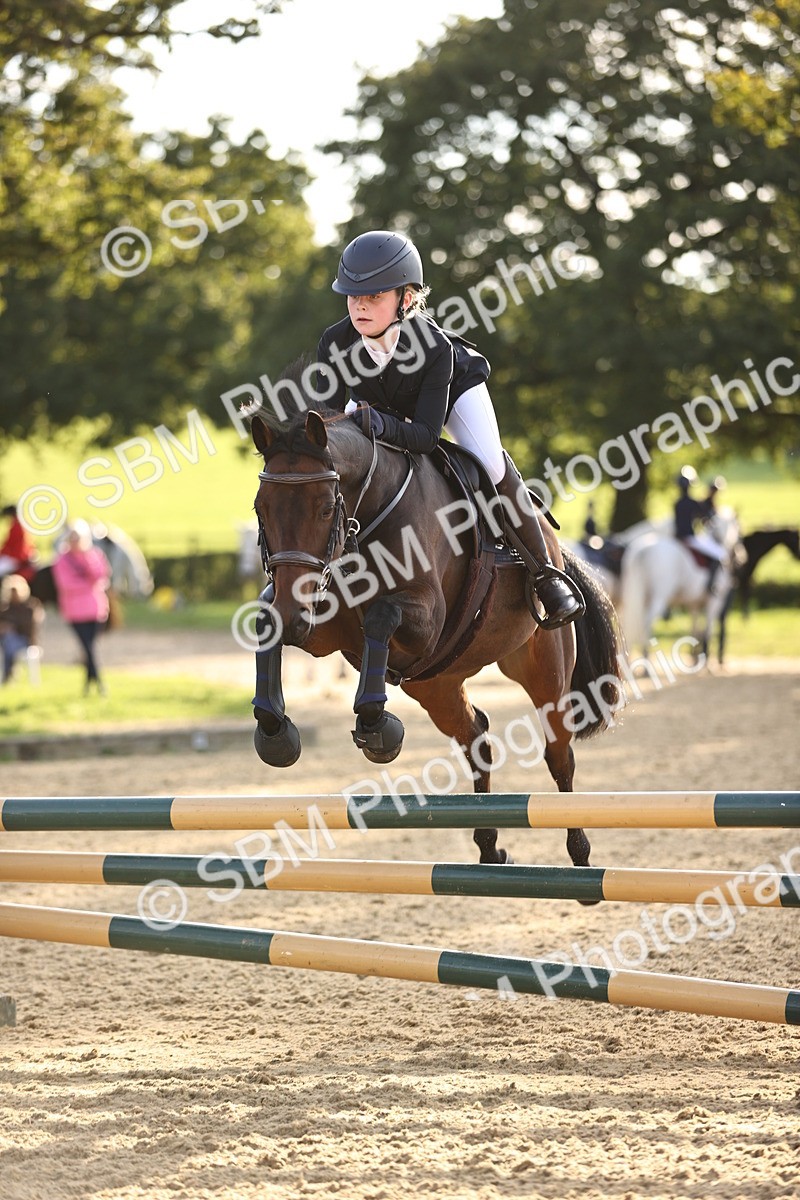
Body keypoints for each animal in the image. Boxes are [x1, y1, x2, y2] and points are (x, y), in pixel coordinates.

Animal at [246, 368, 624, 870]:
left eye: (326, 508)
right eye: (261, 508)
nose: (295, 616)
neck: (367, 516)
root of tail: (556, 550)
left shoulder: (424, 621)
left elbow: (381, 616)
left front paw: (376, 726)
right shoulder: (326, 629)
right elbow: (266, 623)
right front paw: (275, 733)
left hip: (544, 668)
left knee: (558, 753)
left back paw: (580, 855)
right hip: (437, 683)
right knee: (476, 735)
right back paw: (489, 846)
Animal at [619, 508, 741, 661]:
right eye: (740, 529)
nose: (742, 556)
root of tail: (641, 551)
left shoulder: (694, 603)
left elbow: (694, 626)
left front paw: (694, 655)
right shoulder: (715, 601)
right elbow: (708, 629)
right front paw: (705, 658)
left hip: (637, 599)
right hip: (658, 599)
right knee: (644, 626)